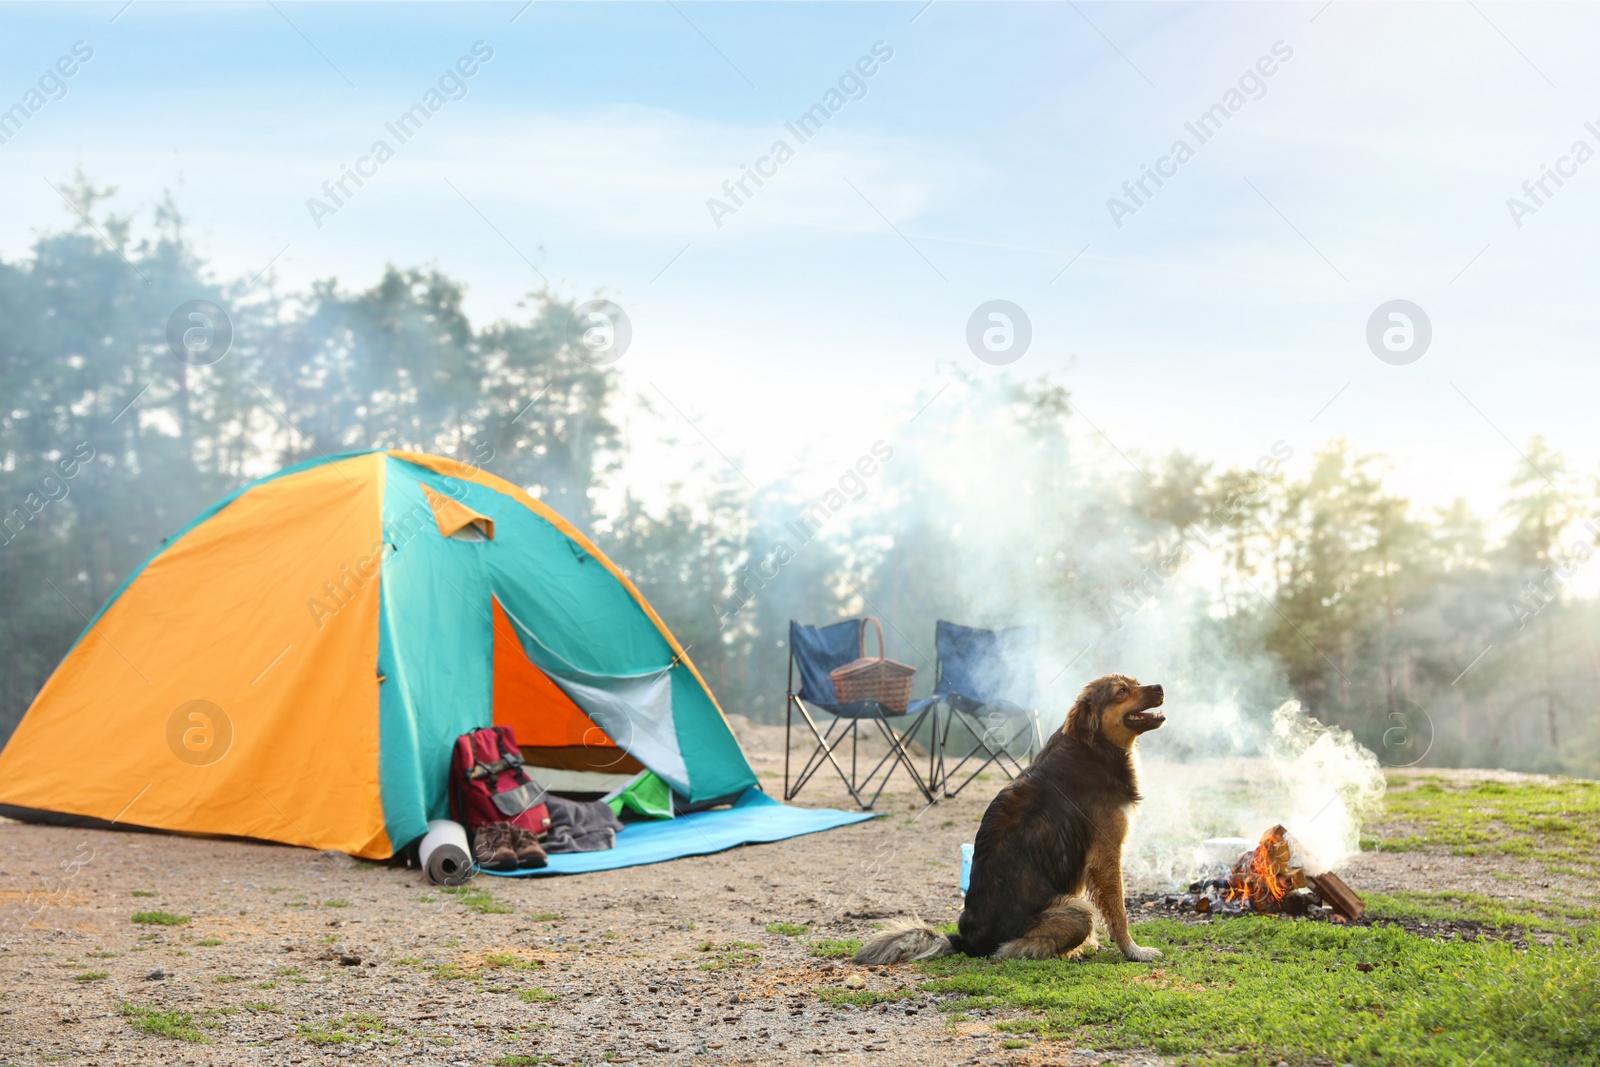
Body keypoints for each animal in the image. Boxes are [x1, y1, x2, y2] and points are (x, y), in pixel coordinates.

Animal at [857, 675, 1171, 966]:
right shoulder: (1105, 854)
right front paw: (1134, 951)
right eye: (1121, 691)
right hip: (1078, 910)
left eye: (1136, 683)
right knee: (1011, 949)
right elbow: (1119, 913)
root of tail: (966, 942)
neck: (1093, 747)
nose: (1159, 687)